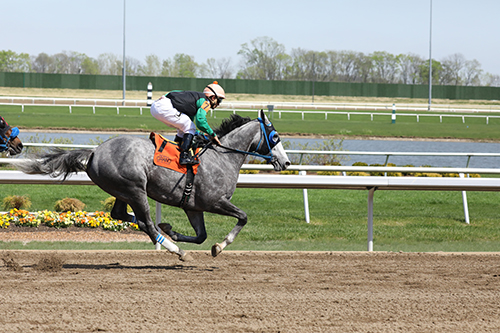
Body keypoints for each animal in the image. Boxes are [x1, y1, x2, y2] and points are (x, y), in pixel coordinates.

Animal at [19, 109, 292, 260]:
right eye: (275, 136)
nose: (287, 162)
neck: (222, 157)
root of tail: (95, 152)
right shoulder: (214, 201)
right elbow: (242, 217)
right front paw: (219, 247)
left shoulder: (192, 206)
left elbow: (201, 235)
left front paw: (175, 230)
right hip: (135, 189)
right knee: (147, 223)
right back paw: (175, 249)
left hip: (122, 191)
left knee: (124, 216)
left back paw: (165, 231)